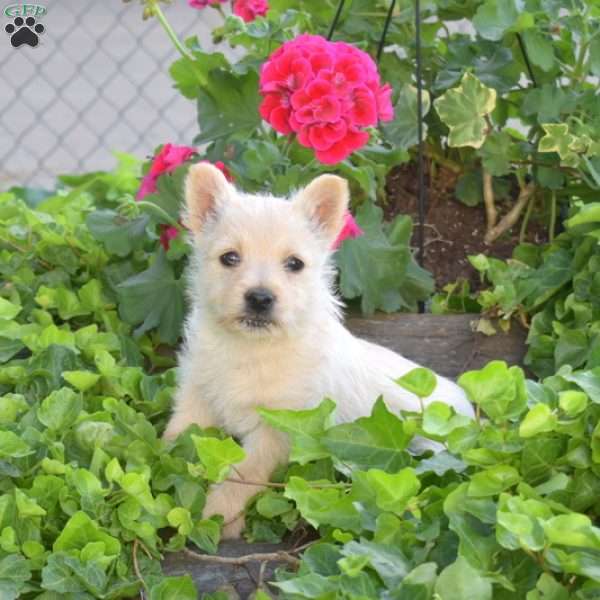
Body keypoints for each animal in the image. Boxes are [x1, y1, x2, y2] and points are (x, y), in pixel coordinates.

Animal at [164, 163, 474, 540]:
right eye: (230, 258)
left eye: (294, 264)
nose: (260, 298)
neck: (250, 348)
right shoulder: (197, 397)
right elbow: (175, 437)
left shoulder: (280, 428)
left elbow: (243, 475)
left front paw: (218, 516)